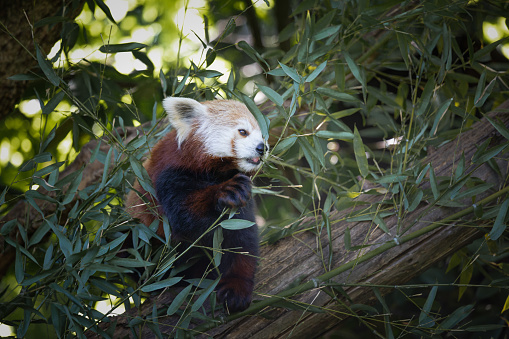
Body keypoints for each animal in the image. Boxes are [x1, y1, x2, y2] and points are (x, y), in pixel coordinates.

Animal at [125, 97, 268, 314]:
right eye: (243, 131)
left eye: (261, 135)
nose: (262, 147)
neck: (215, 172)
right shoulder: (170, 174)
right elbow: (184, 214)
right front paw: (223, 192)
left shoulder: (243, 205)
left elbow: (242, 238)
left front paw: (236, 287)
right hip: (138, 237)